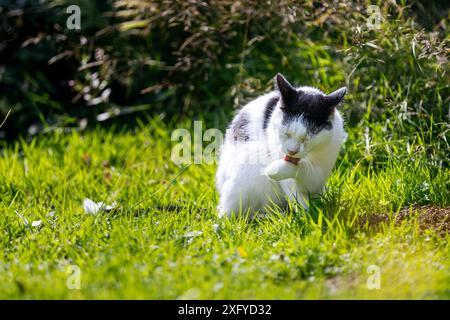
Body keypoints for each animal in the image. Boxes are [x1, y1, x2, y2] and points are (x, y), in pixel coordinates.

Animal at [214, 73, 348, 218]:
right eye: (286, 134)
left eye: (306, 139)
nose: (291, 151)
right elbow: (295, 188)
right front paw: (307, 216)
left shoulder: (324, 167)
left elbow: (312, 179)